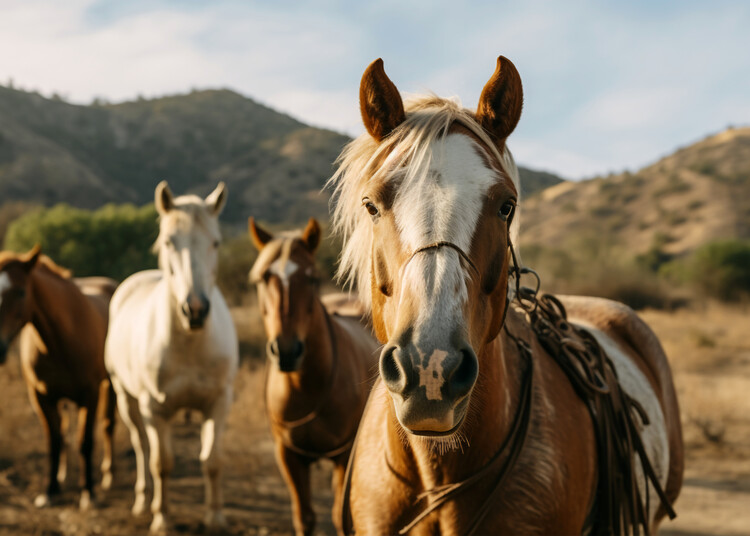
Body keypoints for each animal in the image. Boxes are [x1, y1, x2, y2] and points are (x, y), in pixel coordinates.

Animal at [0, 247, 118, 510]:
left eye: (21, 292)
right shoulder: (41, 397)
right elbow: (53, 440)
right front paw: (50, 490)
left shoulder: (90, 395)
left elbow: (85, 442)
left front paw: (88, 493)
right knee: (63, 431)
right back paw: (63, 476)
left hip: (112, 386)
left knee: (108, 425)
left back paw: (109, 476)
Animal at [104, 181, 238, 533]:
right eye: (168, 241)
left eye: (216, 242)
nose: (195, 310)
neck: (190, 343)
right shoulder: (155, 409)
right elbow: (161, 463)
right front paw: (161, 518)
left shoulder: (218, 403)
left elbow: (212, 461)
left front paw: (215, 517)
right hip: (126, 398)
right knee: (141, 446)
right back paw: (142, 500)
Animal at [248, 217, 380, 536]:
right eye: (261, 279)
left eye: (311, 278)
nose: (286, 350)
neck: (306, 387)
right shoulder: (288, 456)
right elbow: (305, 517)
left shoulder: (345, 455)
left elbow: (341, 518)